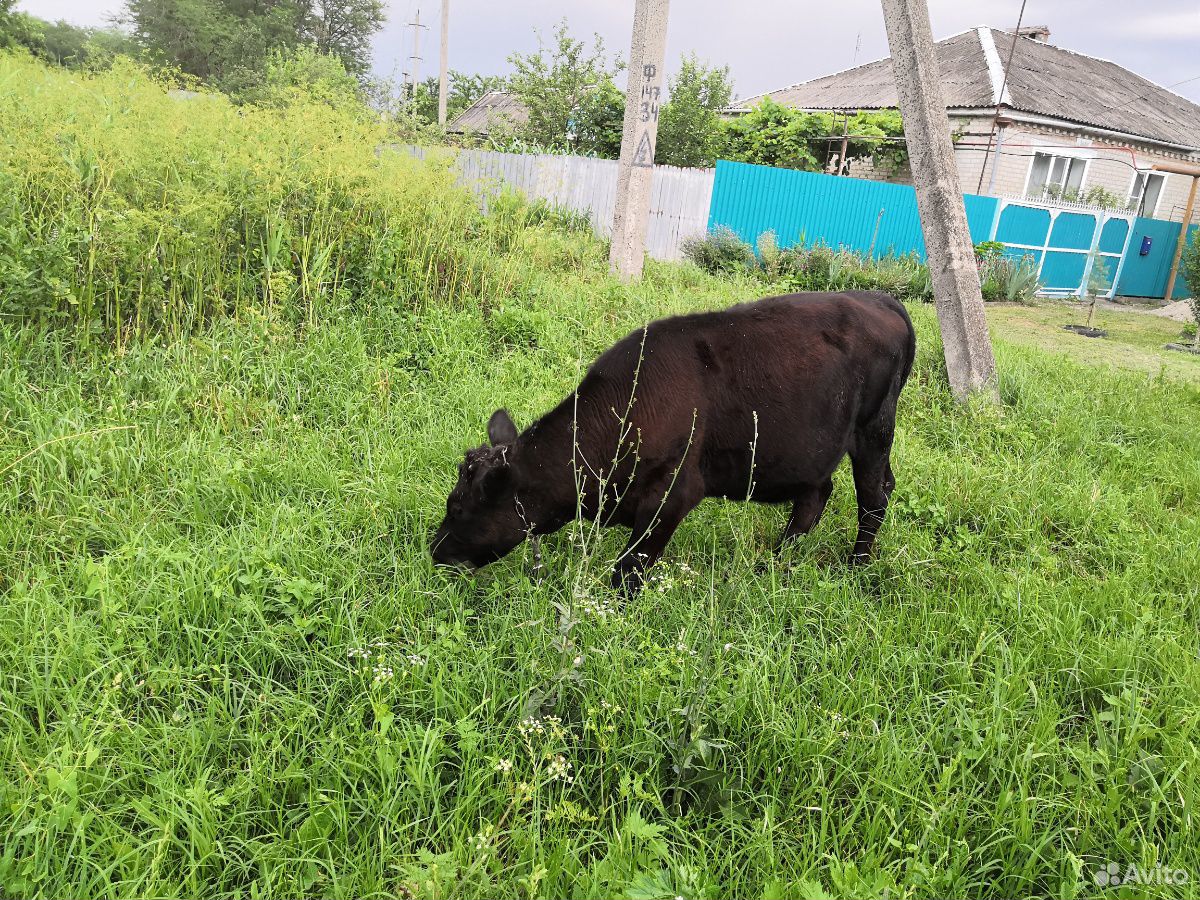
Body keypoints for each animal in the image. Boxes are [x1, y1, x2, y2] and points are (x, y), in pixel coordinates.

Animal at [434, 292, 916, 595]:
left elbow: (628, 571)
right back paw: (774, 563)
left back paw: (856, 565)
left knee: (873, 497)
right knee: (816, 496)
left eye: (457, 508)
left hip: (874, 429)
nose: (434, 551)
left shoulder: (673, 495)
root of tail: (880, 297)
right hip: (814, 449)